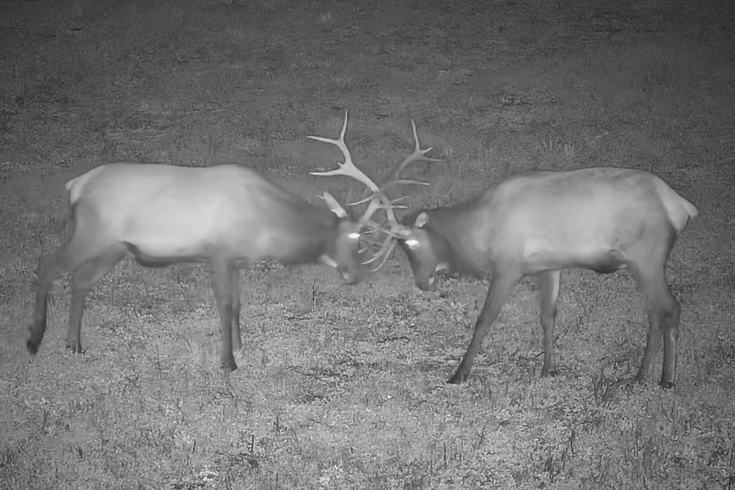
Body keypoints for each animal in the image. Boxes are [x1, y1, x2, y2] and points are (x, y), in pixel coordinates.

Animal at [380, 166, 699, 389]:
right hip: (641, 264)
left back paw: (667, 379)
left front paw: (459, 373)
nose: (422, 282)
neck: (476, 233)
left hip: (647, 258)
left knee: (671, 307)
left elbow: (485, 319)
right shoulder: (549, 266)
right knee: (654, 312)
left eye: (411, 244)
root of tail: (682, 207)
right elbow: (547, 316)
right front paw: (549, 369)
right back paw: (641, 374)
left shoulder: (507, 266)